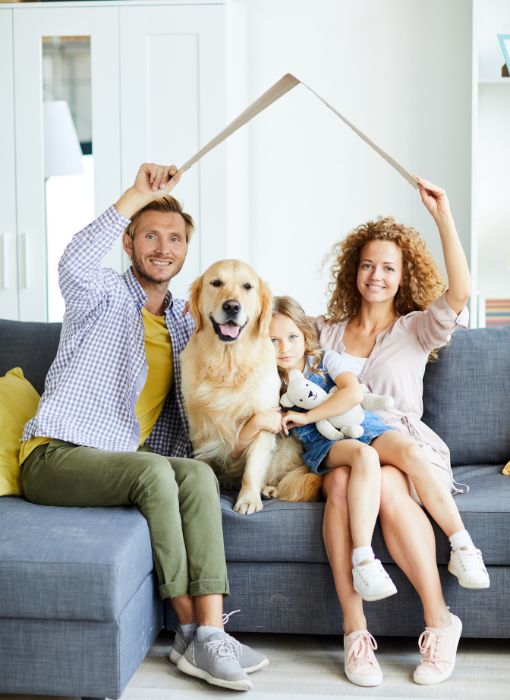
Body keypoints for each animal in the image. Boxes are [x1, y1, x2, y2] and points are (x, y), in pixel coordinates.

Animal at [181, 260, 320, 512]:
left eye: (247, 286)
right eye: (216, 283)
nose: (232, 307)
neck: (229, 362)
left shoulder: (265, 420)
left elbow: (253, 468)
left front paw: (248, 499)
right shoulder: (200, 427)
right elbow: (205, 461)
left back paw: (268, 490)